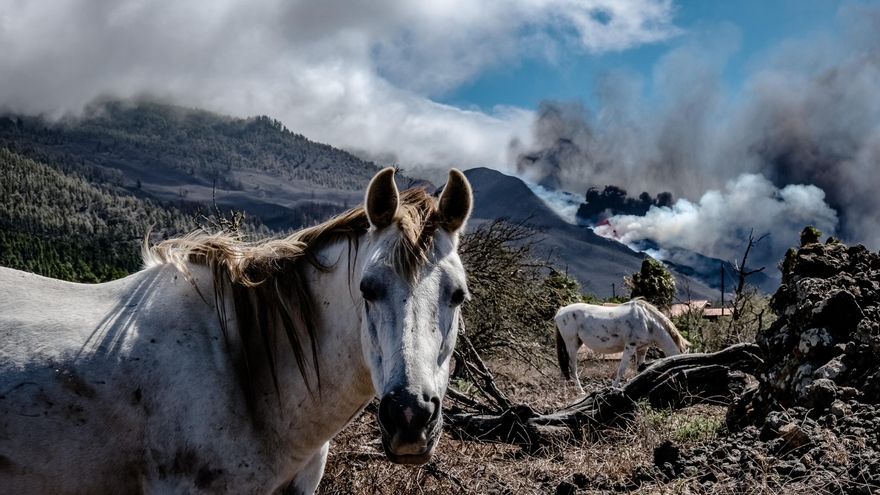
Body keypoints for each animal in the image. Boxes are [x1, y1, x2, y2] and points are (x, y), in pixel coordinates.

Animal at [554, 299, 689, 393]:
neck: (647, 321)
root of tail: (560, 311)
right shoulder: (630, 347)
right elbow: (621, 370)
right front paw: (613, 389)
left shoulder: (642, 349)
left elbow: (640, 369)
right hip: (571, 344)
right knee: (573, 368)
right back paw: (581, 392)